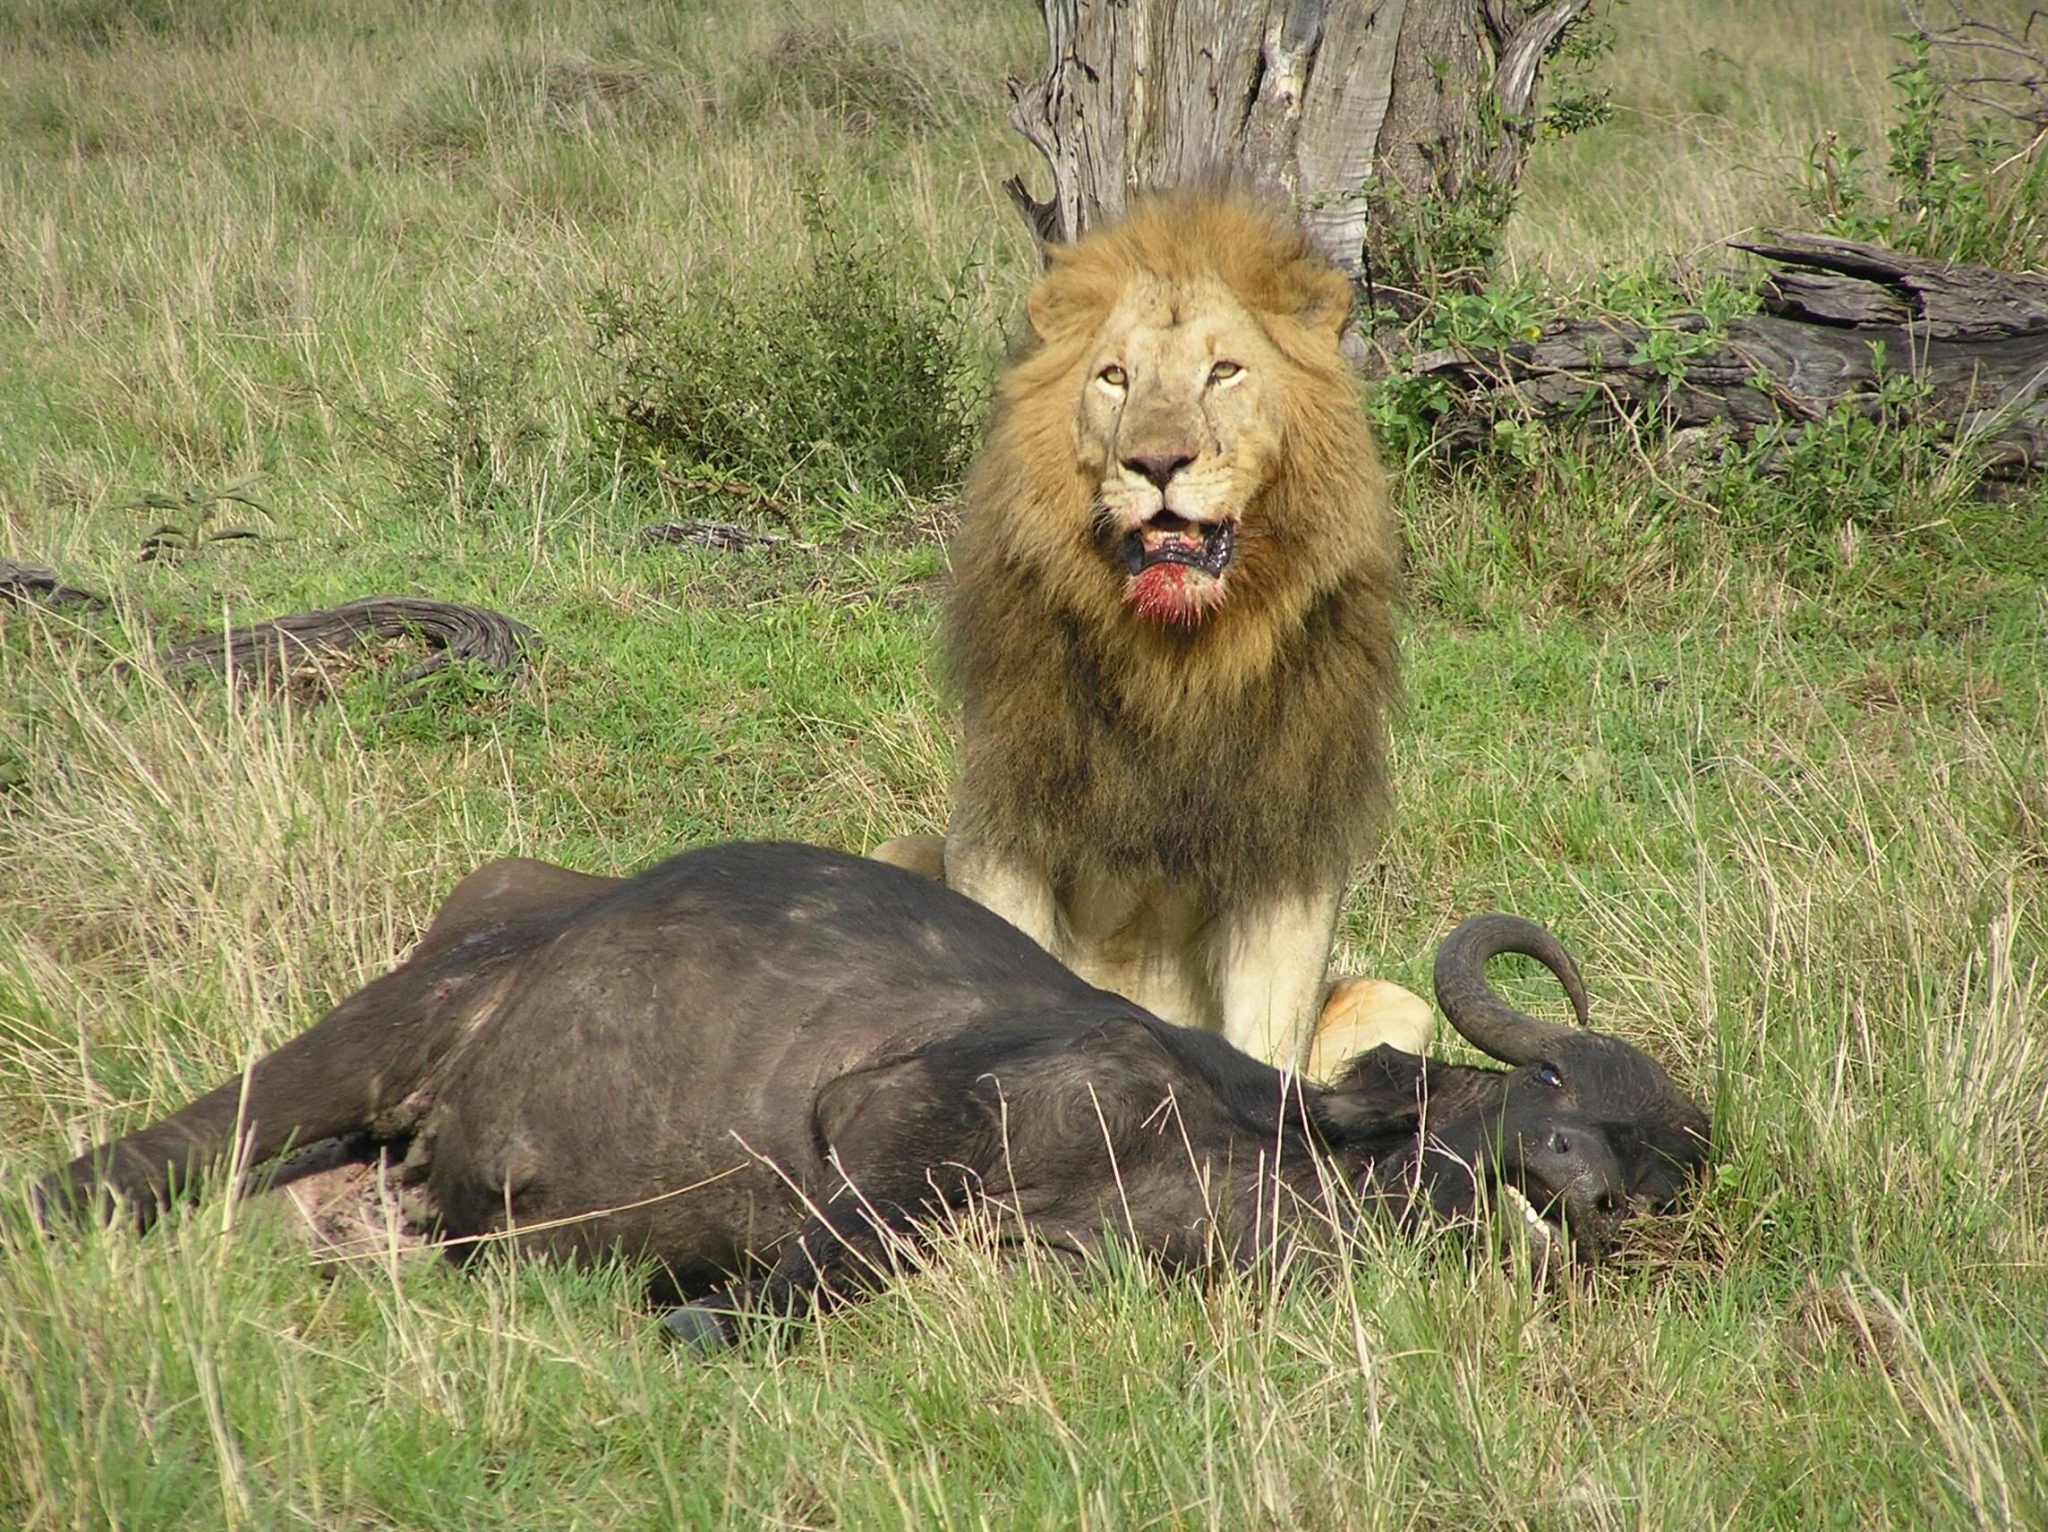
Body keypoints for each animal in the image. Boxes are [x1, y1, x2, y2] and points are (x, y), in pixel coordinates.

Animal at [877, 193, 1411, 1074]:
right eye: (1114, 377)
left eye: (1223, 372)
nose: (1157, 462)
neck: (1177, 665)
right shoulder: (1002, 826)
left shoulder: (1289, 855)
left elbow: (1270, 1044)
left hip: (1399, 1003)